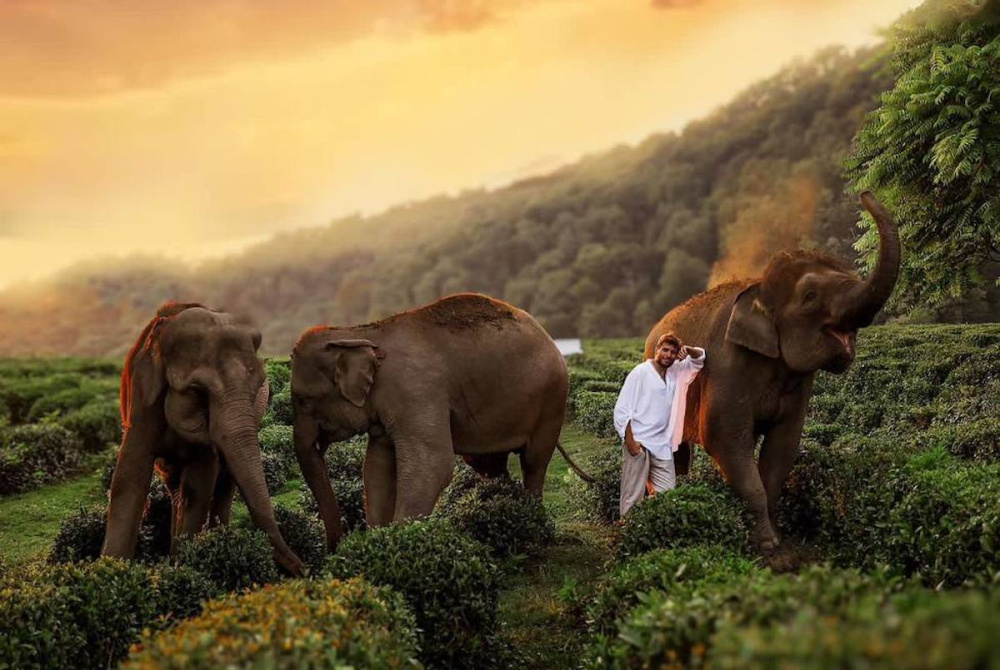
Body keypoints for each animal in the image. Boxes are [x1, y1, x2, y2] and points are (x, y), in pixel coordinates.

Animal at [102, 304, 306, 576]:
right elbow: (129, 477)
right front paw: (111, 569)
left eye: (258, 387)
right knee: (175, 483)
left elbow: (199, 483)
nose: (306, 570)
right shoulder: (142, 400)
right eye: (198, 391)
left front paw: (183, 568)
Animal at [644, 192, 904, 552]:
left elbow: (783, 445)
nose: (864, 193)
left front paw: (778, 537)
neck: (758, 287)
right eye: (810, 296)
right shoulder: (727, 366)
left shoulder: (798, 383)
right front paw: (766, 544)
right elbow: (723, 437)